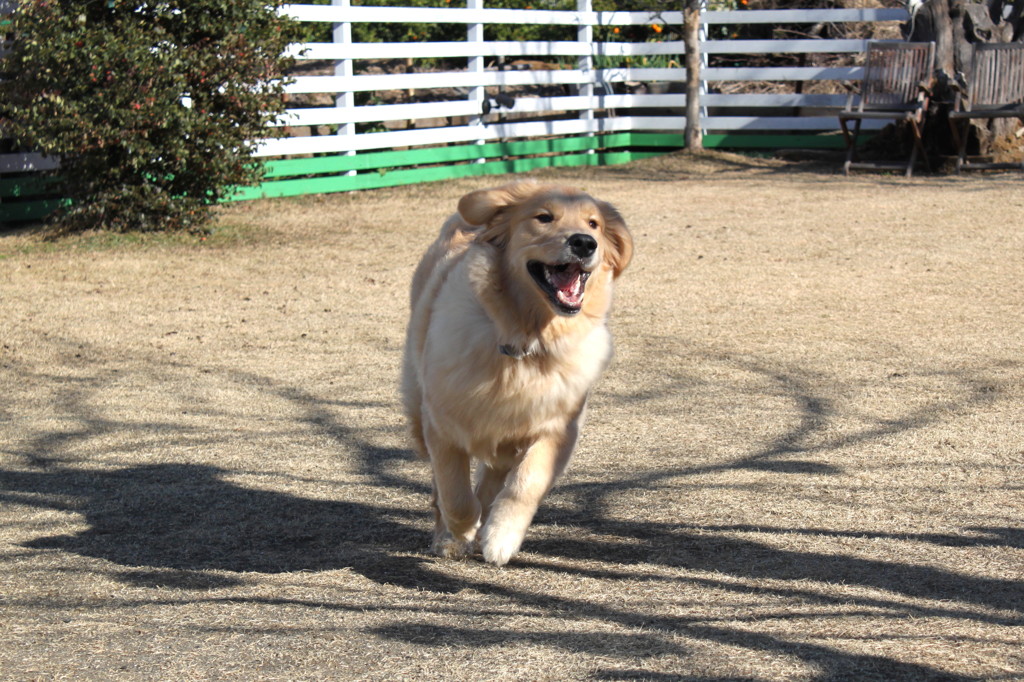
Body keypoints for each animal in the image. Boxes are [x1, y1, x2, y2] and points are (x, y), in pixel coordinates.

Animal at [399, 178, 630, 565]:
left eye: (594, 224)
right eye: (544, 217)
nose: (585, 242)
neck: (525, 341)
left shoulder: (559, 429)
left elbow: (526, 483)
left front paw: (500, 536)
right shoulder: (442, 424)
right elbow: (455, 494)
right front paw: (462, 530)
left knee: (494, 477)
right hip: (418, 406)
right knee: (441, 487)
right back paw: (449, 537)